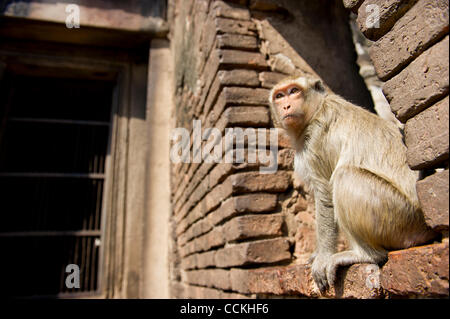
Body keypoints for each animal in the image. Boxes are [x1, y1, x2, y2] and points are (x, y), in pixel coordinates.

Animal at [268, 76, 434, 294]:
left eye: (294, 91)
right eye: (279, 95)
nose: (286, 105)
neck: (316, 110)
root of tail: (425, 227)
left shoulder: (316, 140)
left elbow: (325, 195)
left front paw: (323, 257)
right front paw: (318, 254)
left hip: (401, 217)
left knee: (345, 175)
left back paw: (366, 254)